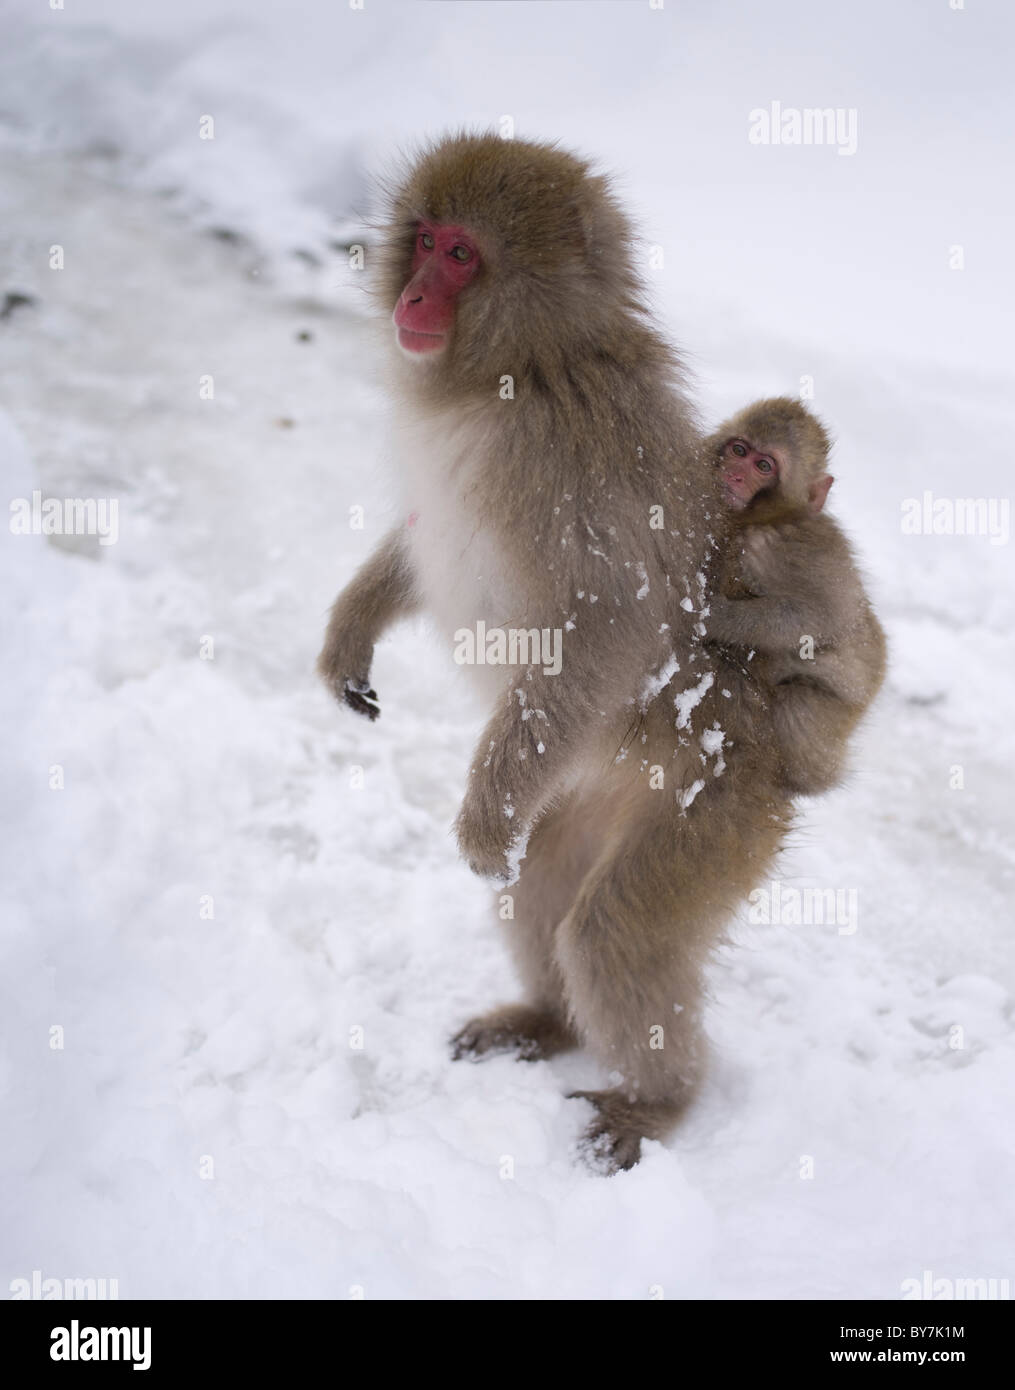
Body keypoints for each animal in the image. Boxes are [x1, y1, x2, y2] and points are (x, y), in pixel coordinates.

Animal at [317, 132, 789, 1173]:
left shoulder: (562, 457)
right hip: (570, 791)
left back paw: (657, 1101)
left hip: (708, 815)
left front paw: (478, 827)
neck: (527, 363)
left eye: (462, 256)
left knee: (614, 931)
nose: (415, 295)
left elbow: (605, 626)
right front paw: (347, 635)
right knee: (537, 891)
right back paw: (547, 1020)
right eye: (425, 238)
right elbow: (422, 545)